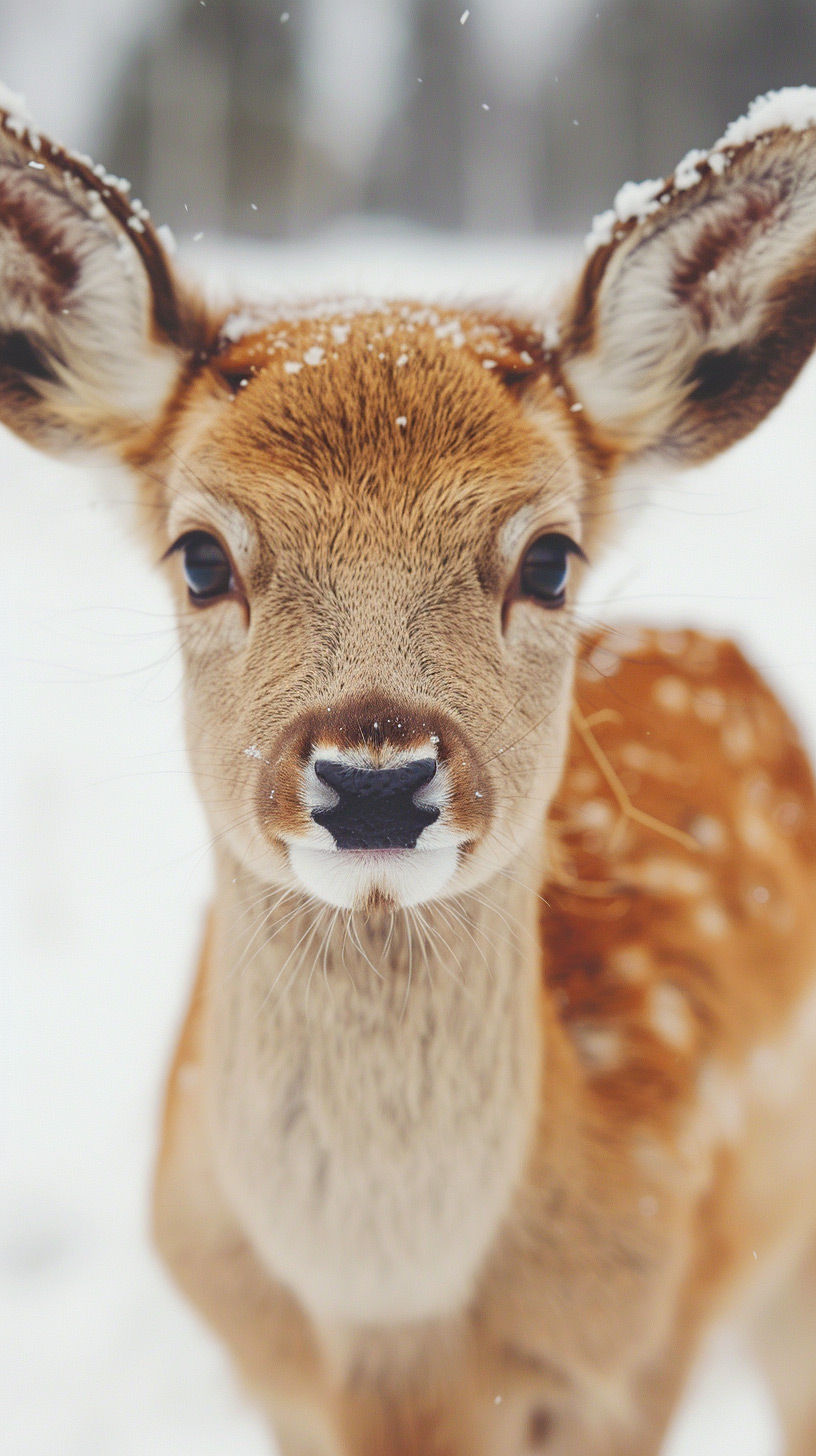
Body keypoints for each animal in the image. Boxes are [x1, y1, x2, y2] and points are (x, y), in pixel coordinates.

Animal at [4, 79, 816, 1456]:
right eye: (201, 554)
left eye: (549, 557)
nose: (375, 776)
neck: (402, 1349)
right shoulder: (279, 1389)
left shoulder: (637, 1358)